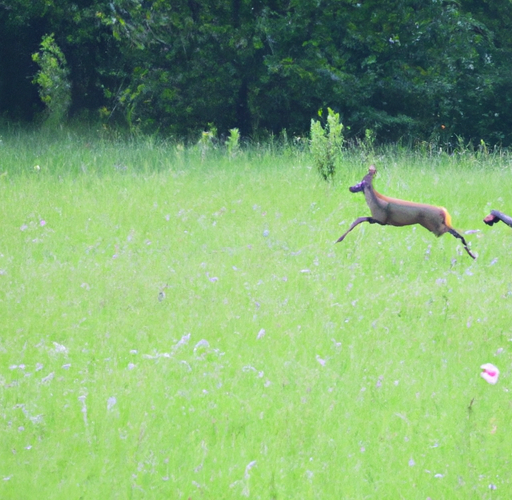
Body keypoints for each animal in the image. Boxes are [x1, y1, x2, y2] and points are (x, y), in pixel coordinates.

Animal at [336, 166, 476, 260]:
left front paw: (339, 239)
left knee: (454, 231)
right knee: (455, 232)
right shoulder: (379, 220)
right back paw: (472, 253)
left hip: (434, 226)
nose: (350, 188)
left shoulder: (380, 219)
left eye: (360, 183)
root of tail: (443, 211)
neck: (375, 203)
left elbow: (359, 218)